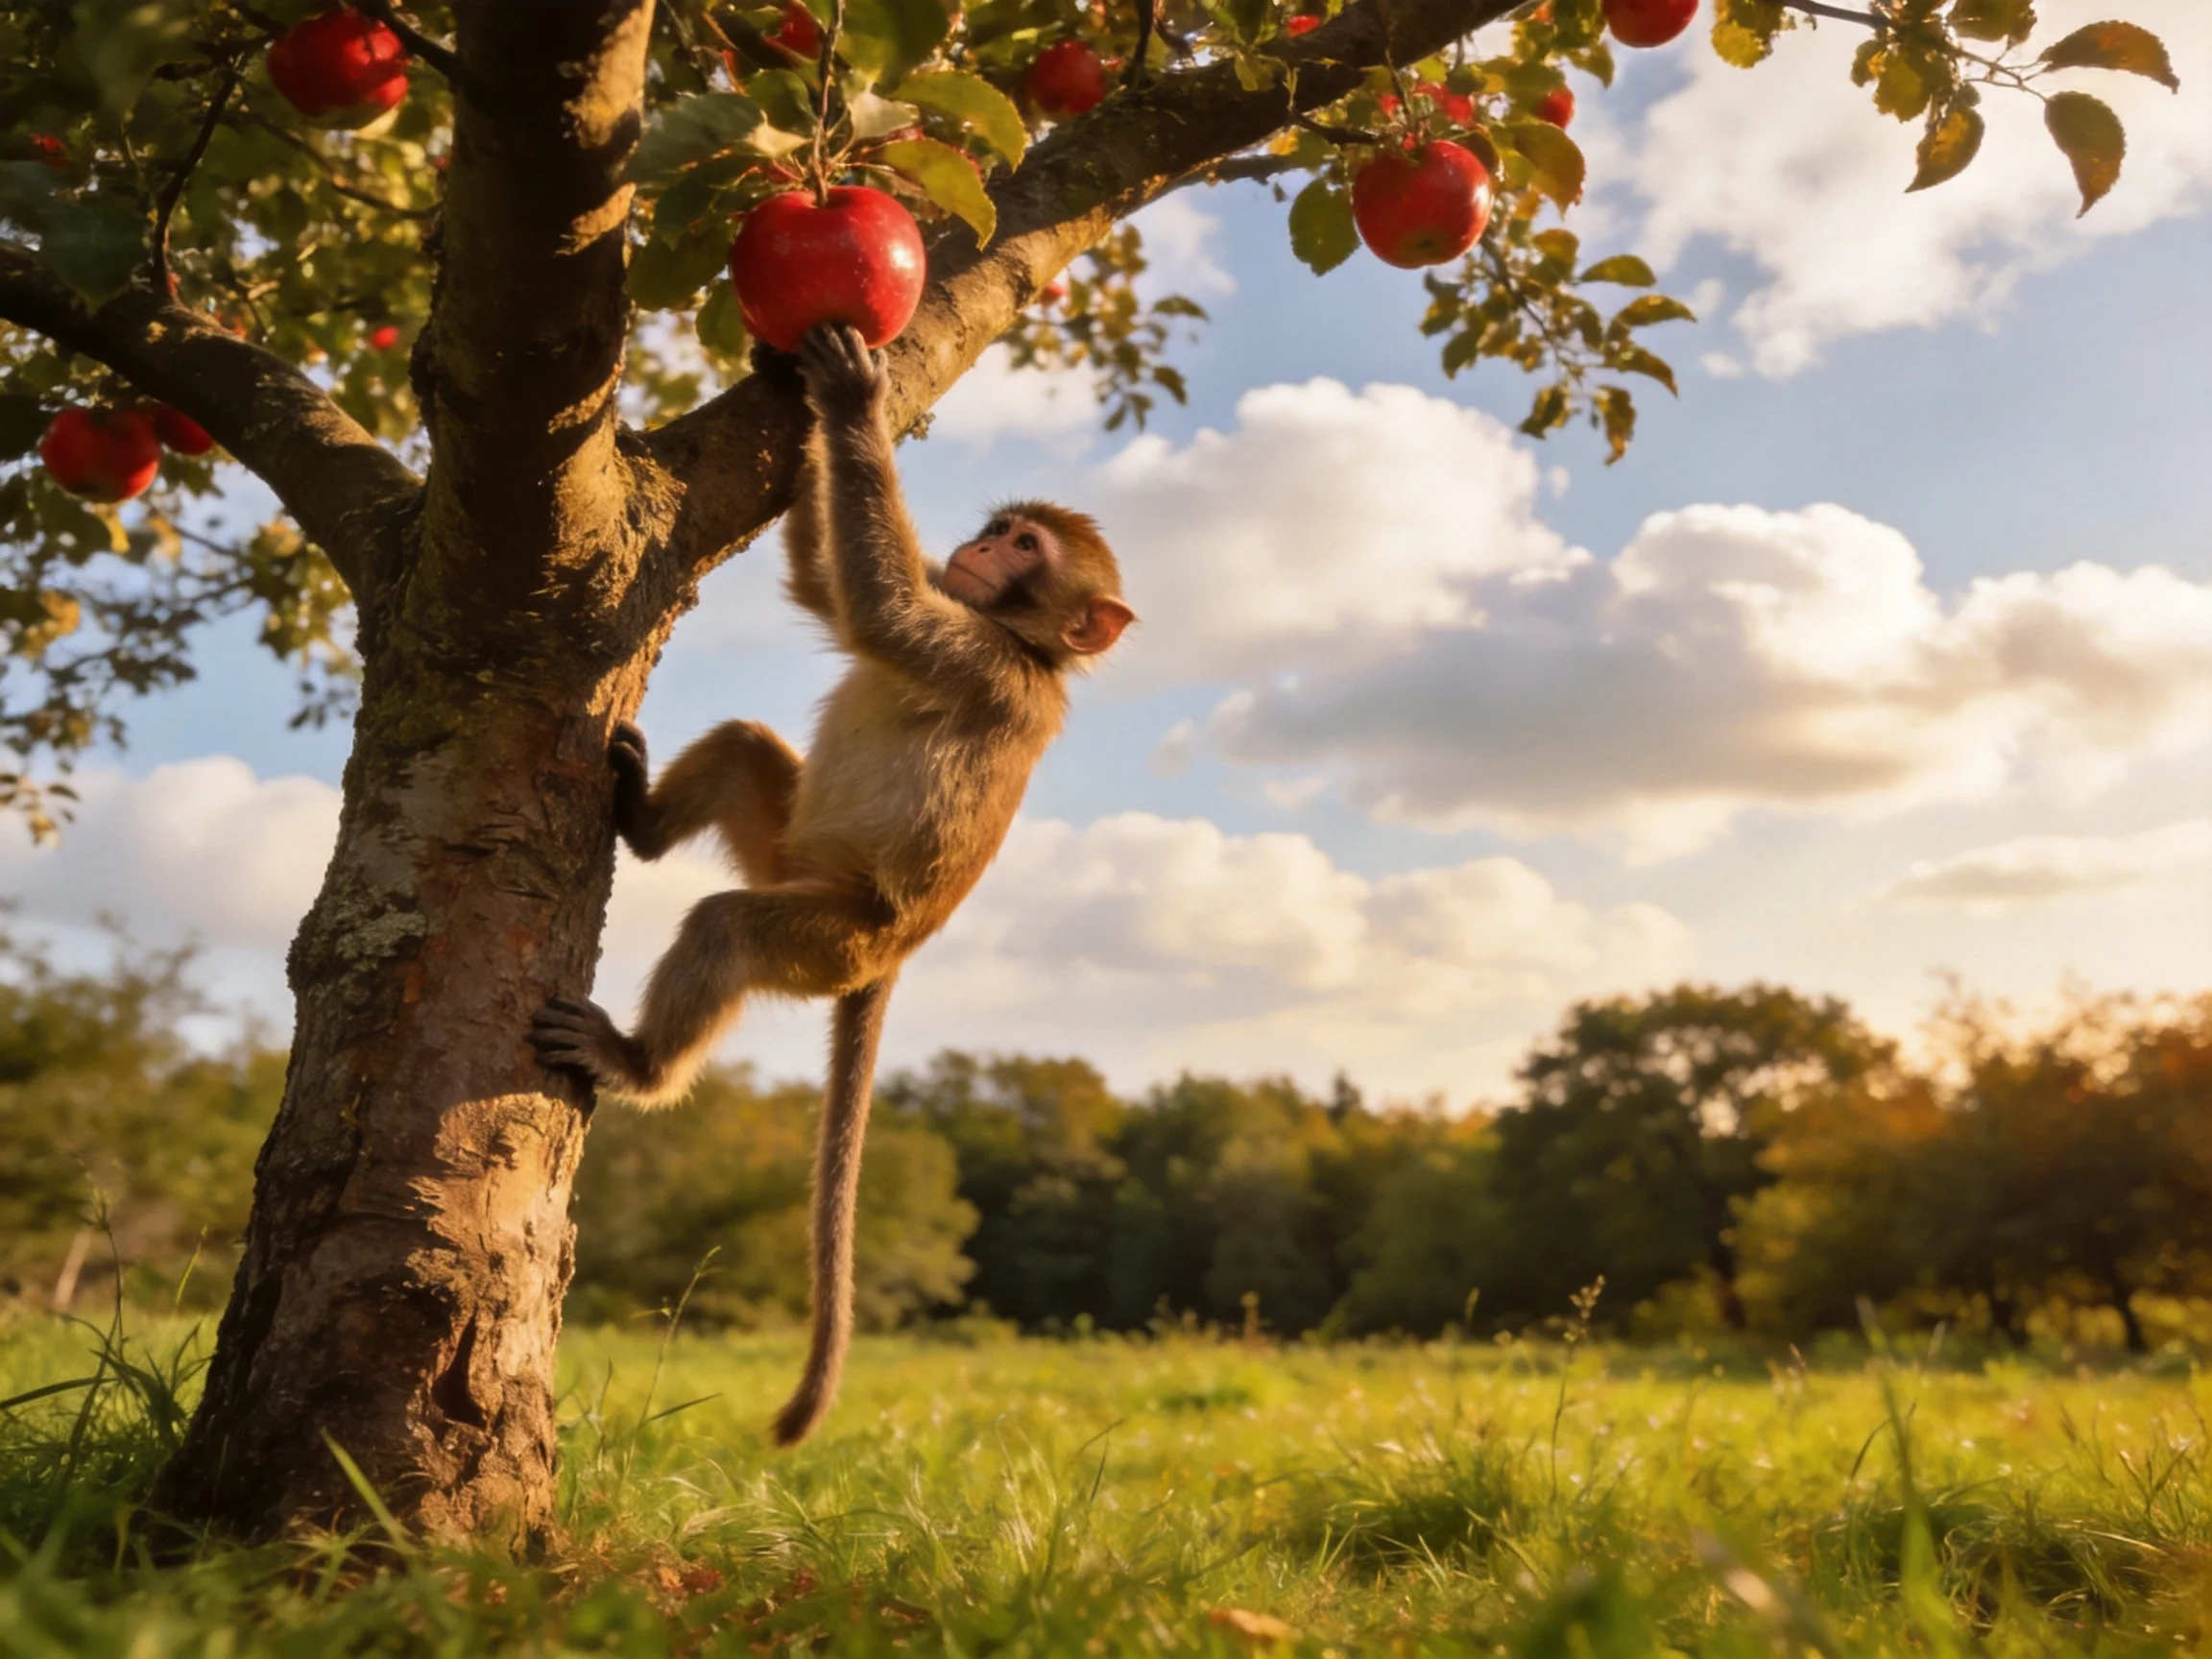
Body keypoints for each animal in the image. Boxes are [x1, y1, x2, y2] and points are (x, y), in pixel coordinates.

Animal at [530, 323, 1134, 1445]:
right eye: (999, 532)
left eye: (1026, 548)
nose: (979, 549)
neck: (1027, 647)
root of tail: (893, 951)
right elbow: (828, 587)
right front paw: (791, 377)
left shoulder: (979, 660)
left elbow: (883, 609)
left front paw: (854, 401)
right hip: (790, 856)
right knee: (742, 747)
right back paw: (641, 822)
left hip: (828, 933)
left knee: (728, 928)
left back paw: (637, 1063)